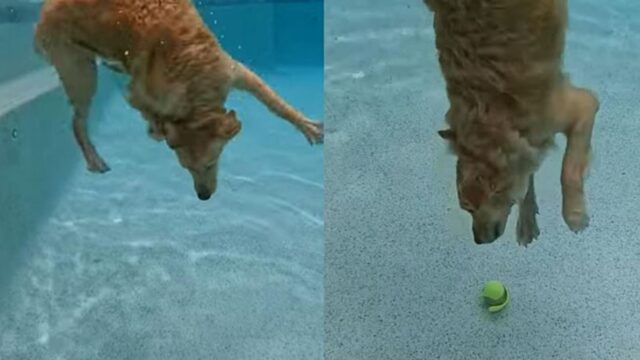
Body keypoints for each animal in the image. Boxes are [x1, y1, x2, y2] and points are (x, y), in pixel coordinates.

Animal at [34, 0, 322, 200]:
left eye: (210, 164)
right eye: (186, 168)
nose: (203, 197)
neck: (194, 82)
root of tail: (44, 12)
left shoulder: (238, 73)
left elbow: (276, 103)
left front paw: (307, 125)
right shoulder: (138, 93)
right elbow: (150, 112)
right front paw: (157, 128)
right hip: (81, 74)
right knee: (77, 123)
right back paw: (95, 159)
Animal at [424, 0, 600, 245]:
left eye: (476, 208)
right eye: (467, 208)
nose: (478, 241)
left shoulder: (584, 106)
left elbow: (570, 169)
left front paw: (574, 212)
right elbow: (528, 178)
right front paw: (527, 217)